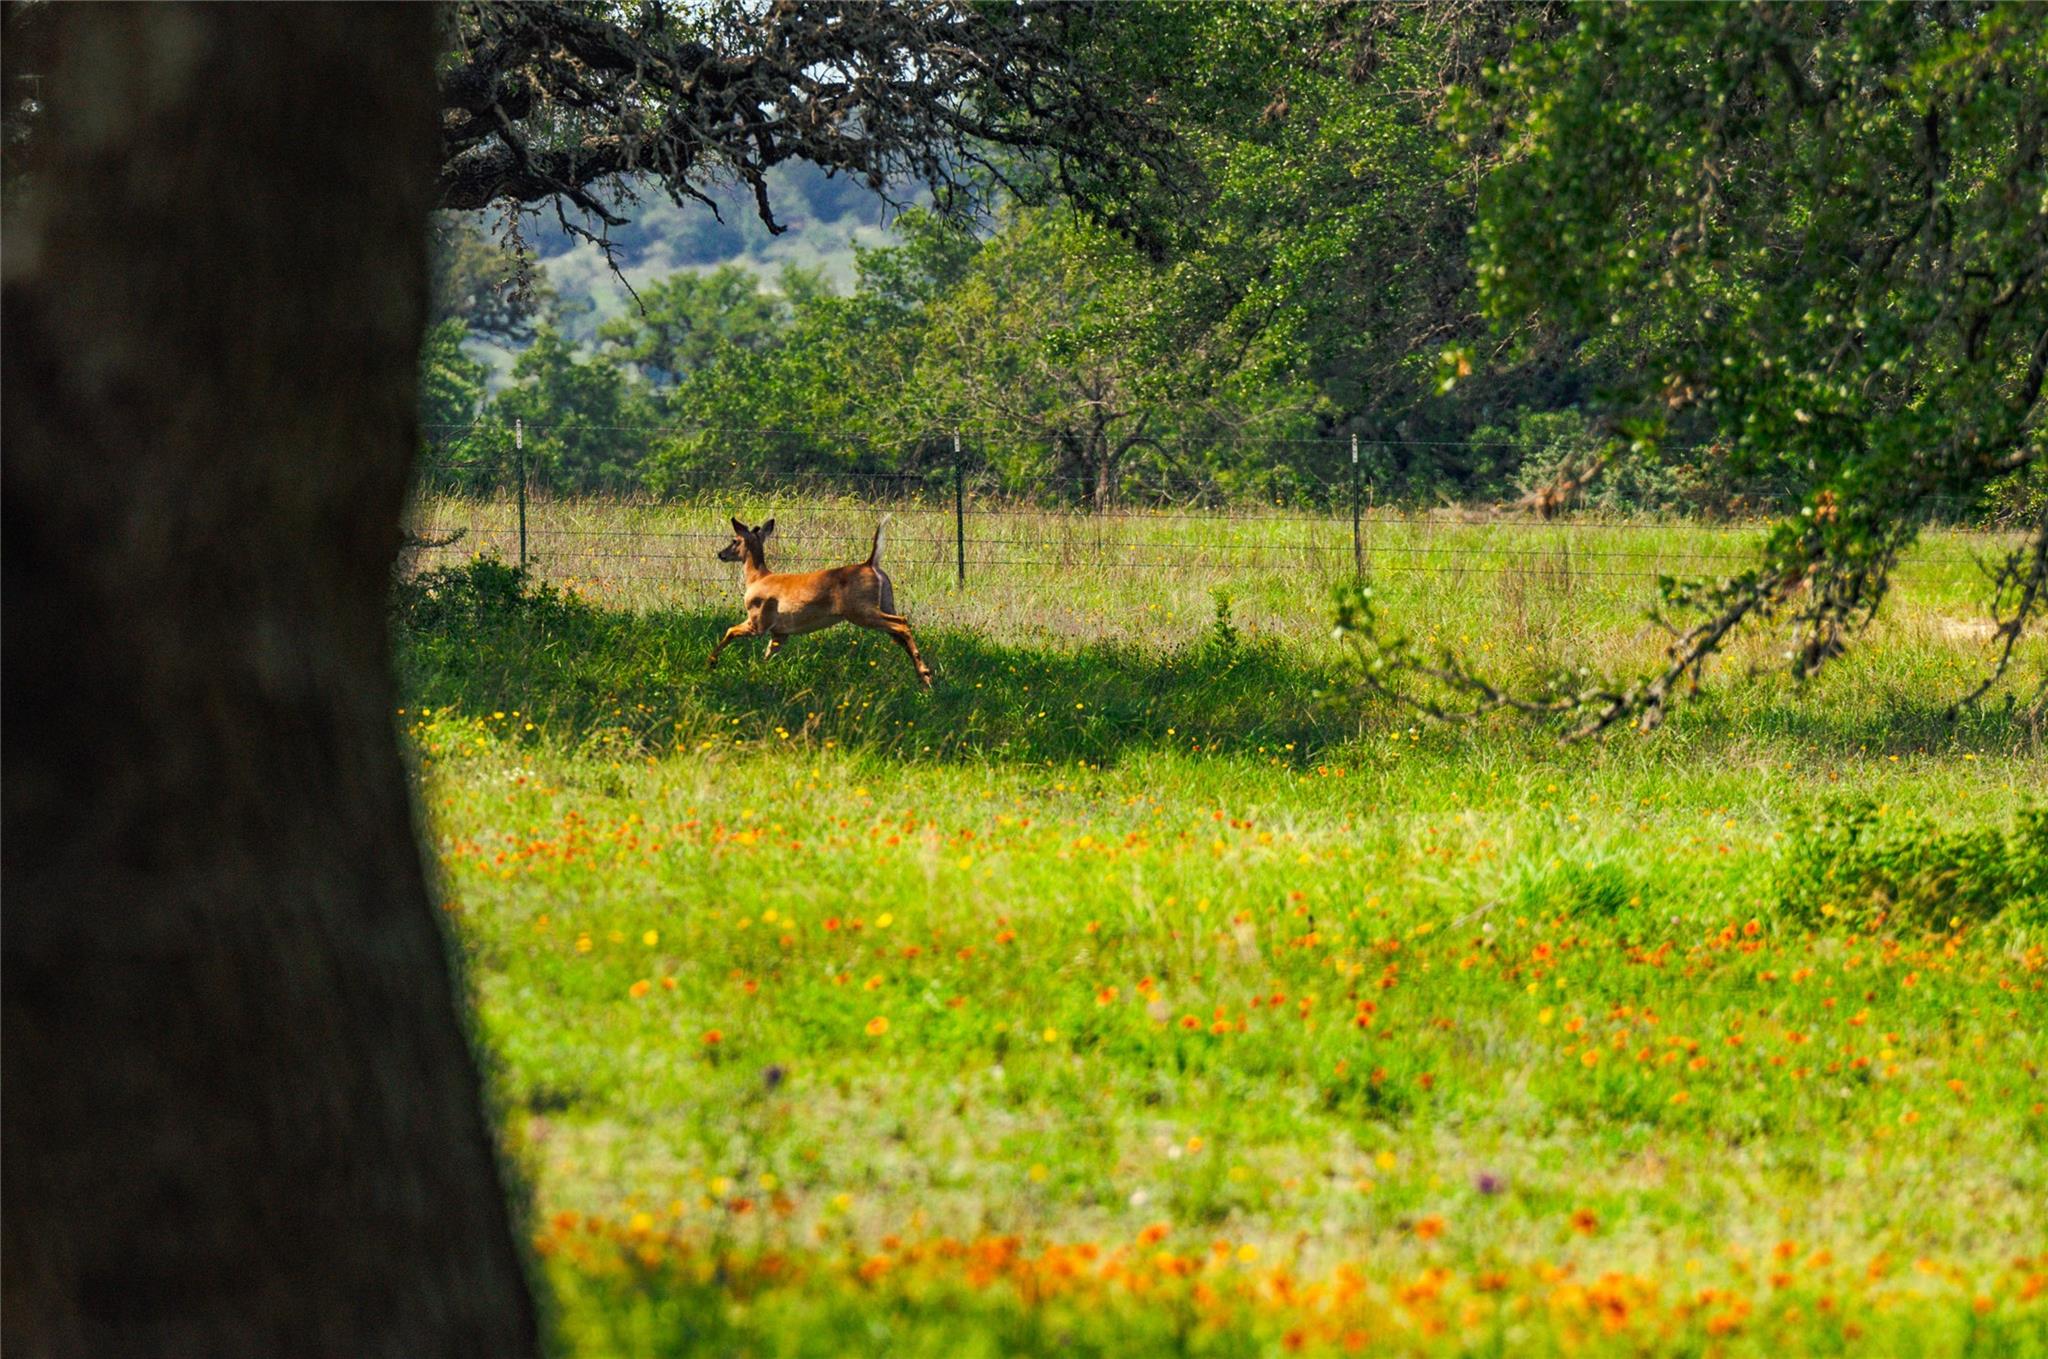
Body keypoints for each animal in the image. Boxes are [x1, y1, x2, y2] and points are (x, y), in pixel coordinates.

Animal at [704, 517, 929, 691]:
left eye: (734, 540)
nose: (720, 554)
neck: (757, 578)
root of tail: (870, 564)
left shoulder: (758, 620)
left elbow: (730, 630)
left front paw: (711, 662)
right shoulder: (781, 632)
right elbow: (767, 654)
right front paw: (758, 674)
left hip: (861, 610)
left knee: (902, 622)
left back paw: (924, 673)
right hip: (885, 603)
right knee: (899, 632)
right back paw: (924, 678)